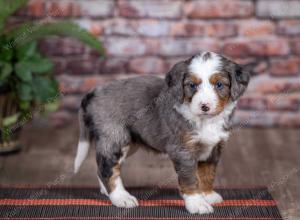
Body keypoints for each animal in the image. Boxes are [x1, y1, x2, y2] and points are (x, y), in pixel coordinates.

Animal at [74, 52, 251, 215]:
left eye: (219, 84)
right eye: (192, 85)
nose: (204, 106)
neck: (206, 121)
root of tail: (94, 91)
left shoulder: (213, 148)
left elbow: (208, 173)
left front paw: (208, 195)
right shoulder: (182, 149)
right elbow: (190, 178)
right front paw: (197, 203)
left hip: (128, 143)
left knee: (104, 166)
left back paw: (107, 191)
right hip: (114, 137)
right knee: (107, 168)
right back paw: (121, 198)